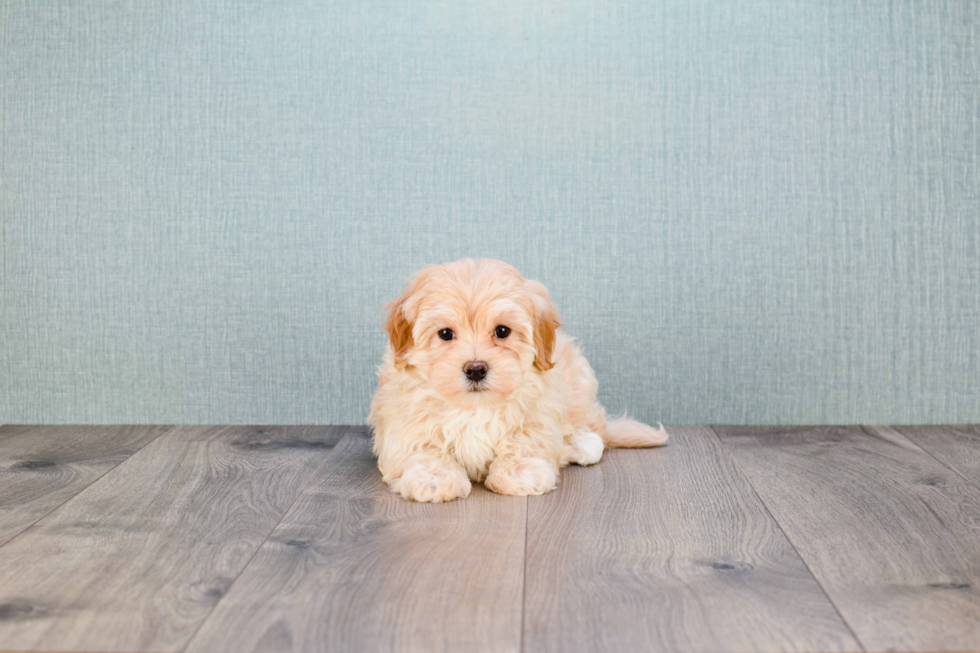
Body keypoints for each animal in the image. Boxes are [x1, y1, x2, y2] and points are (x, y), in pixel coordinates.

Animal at [368, 258, 668, 502]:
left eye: (502, 331)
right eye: (445, 334)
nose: (475, 369)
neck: (474, 407)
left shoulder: (539, 407)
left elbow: (525, 439)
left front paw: (520, 472)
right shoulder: (404, 416)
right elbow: (422, 446)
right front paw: (434, 478)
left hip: (579, 379)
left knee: (589, 424)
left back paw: (581, 444)